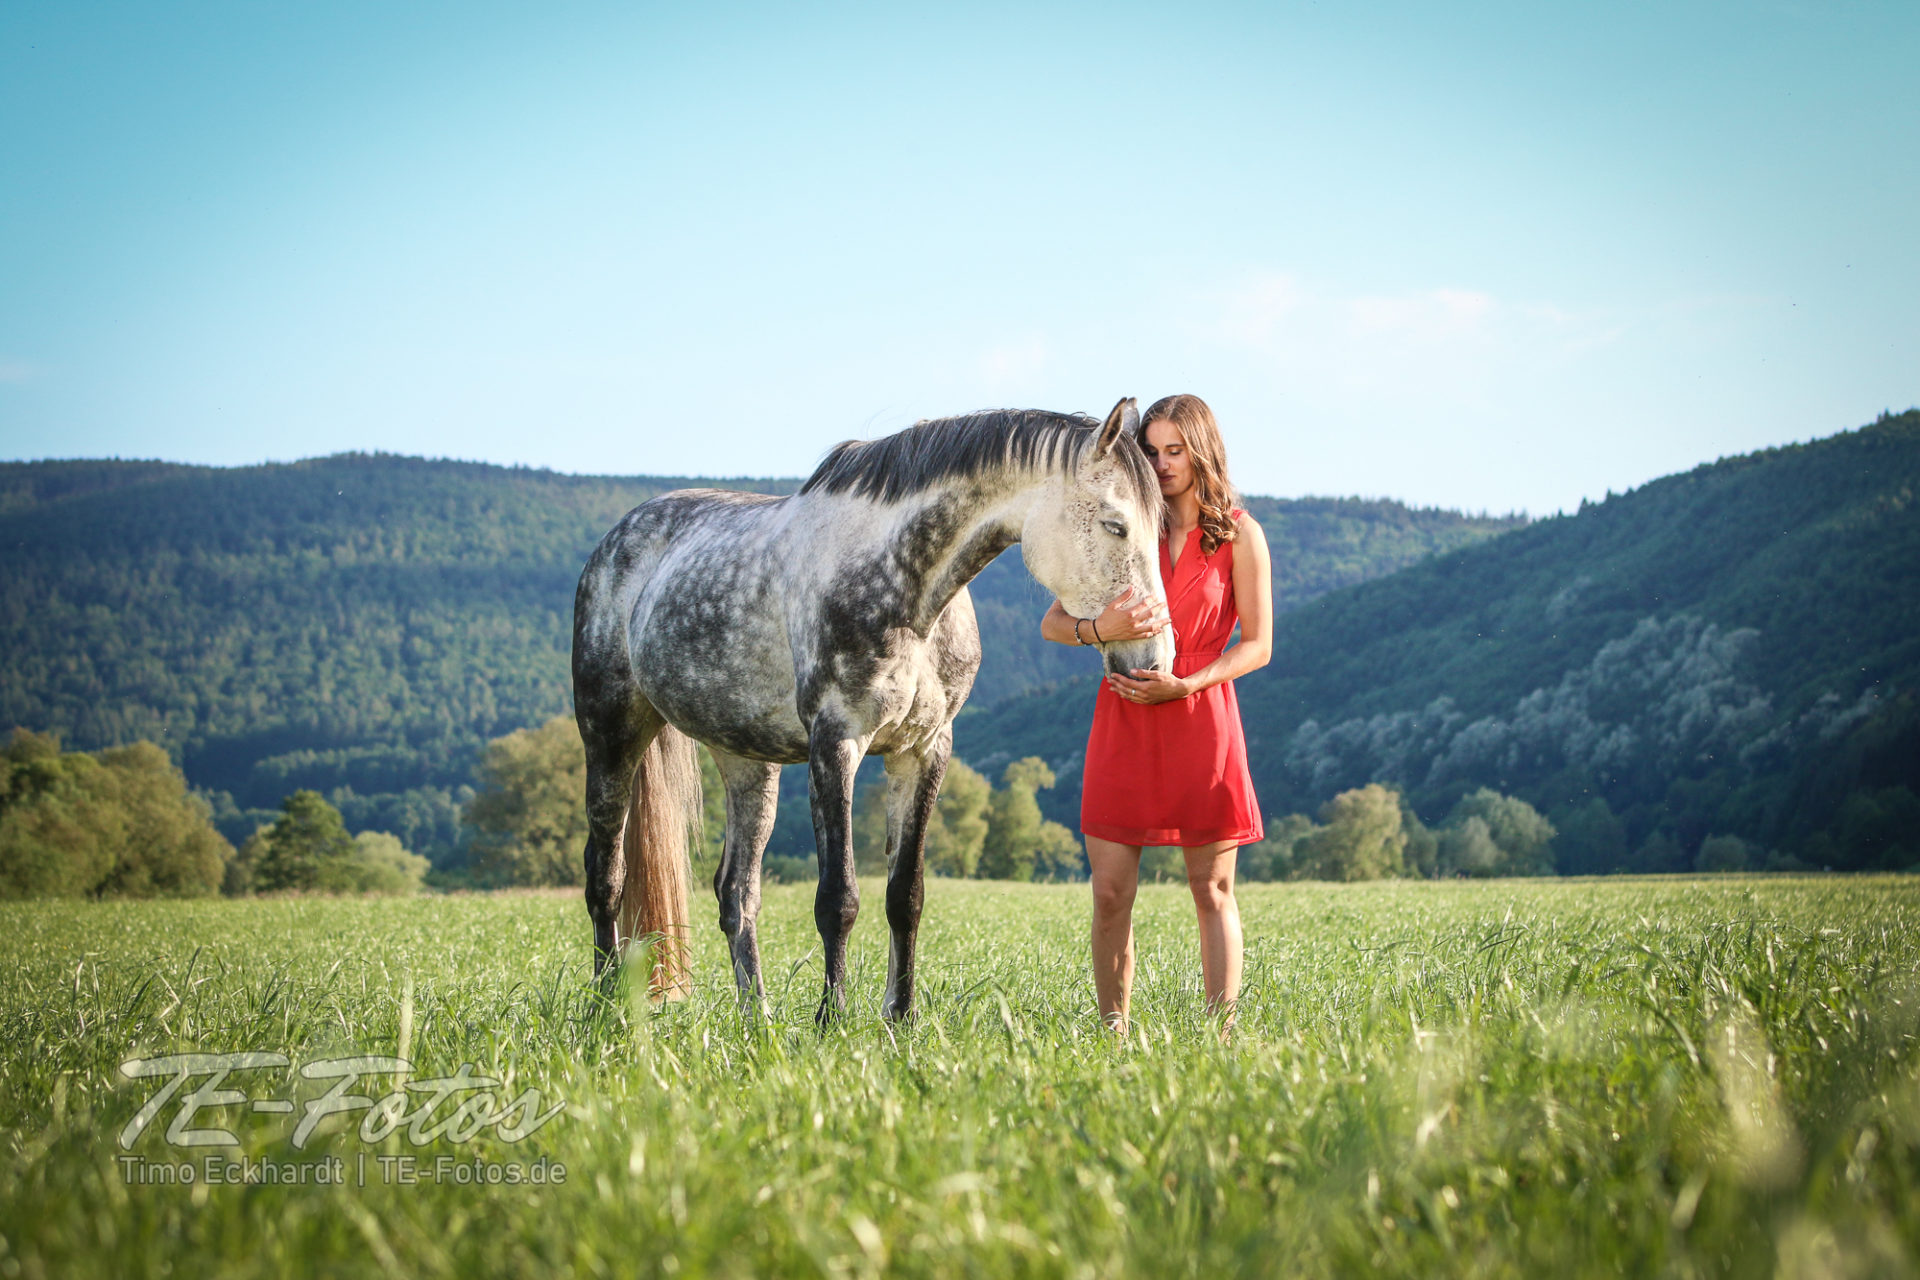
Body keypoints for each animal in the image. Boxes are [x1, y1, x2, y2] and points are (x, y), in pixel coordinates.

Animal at [571, 397, 1174, 1023]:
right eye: (1116, 525)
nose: (1155, 659)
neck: (904, 590)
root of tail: (618, 538)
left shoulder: (924, 750)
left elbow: (905, 895)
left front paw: (900, 1015)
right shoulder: (837, 743)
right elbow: (838, 898)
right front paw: (832, 1018)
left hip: (746, 761)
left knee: (736, 891)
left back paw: (757, 1017)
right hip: (610, 734)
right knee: (605, 876)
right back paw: (606, 1005)